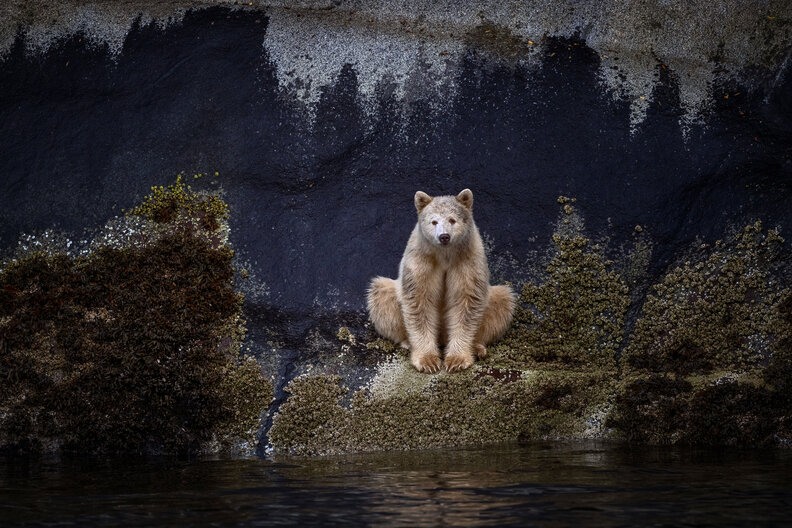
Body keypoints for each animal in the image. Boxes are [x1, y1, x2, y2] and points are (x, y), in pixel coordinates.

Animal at [367, 189, 516, 373]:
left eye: (452, 219)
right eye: (434, 221)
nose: (444, 236)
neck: (445, 254)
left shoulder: (467, 258)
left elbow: (467, 302)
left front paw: (457, 360)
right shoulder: (421, 259)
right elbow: (419, 301)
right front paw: (428, 361)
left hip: (495, 299)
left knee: (502, 300)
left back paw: (477, 347)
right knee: (380, 293)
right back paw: (407, 343)